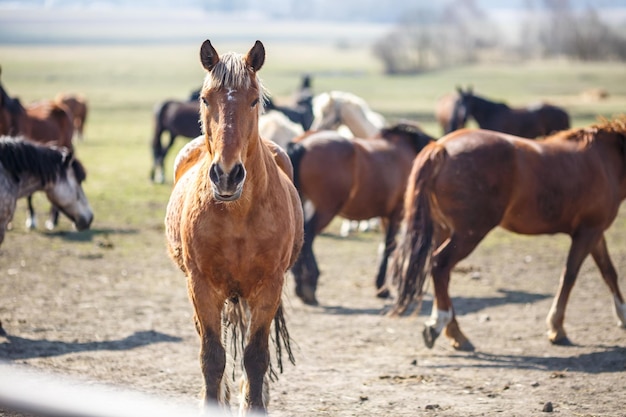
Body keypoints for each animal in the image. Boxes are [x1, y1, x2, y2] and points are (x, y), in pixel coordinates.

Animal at [163, 39, 302, 412]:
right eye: (204, 98)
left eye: (254, 100)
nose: (226, 175)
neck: (238, 216)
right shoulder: (202, 288)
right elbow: (212, 357)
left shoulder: (268, 288)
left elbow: (256, 358)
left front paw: (255, 404)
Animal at [284, 122, 434, 304]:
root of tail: (302, 144)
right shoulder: (396, 213)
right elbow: (389, 246)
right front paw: (382, 288)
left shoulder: (385, 216)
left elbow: (386, 246)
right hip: (327, 209)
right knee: (309, 236)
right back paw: (309, 283)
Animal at [388, 118, 624, 352]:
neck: (605, 158)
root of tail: (441, 147)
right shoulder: (588, 231)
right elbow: (570, 276)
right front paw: (557, 328)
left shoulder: (595, 233)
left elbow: (609, 272)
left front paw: (622, 315)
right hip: (469, 234)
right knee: (440, 266)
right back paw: (444, 325)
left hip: (444, 231)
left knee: (442, 275)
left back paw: (455, 333)